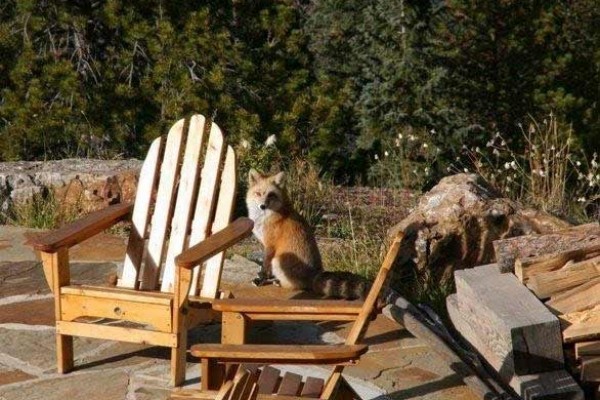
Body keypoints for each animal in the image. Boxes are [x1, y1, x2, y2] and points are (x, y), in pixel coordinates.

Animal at [245, 170, 368, 300]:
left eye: (271, 195)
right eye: (258, 193)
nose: (262, 206)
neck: (266, 217)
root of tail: (314, 276)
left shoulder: (270, 246)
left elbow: (265, 266)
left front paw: (261, 279)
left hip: (277, 260)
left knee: (296, 286)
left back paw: (279, 282)